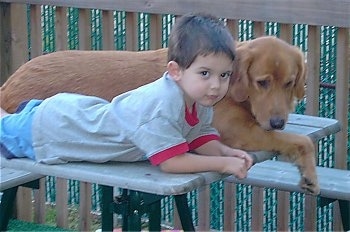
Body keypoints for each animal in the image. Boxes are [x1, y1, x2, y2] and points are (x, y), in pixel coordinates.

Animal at [0, 36, 318, 195]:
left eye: (289, 83)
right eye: (262, 82)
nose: (277, 122)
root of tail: (9, 83)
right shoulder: (238, 130)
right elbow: (302, 140)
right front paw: (310, 173)